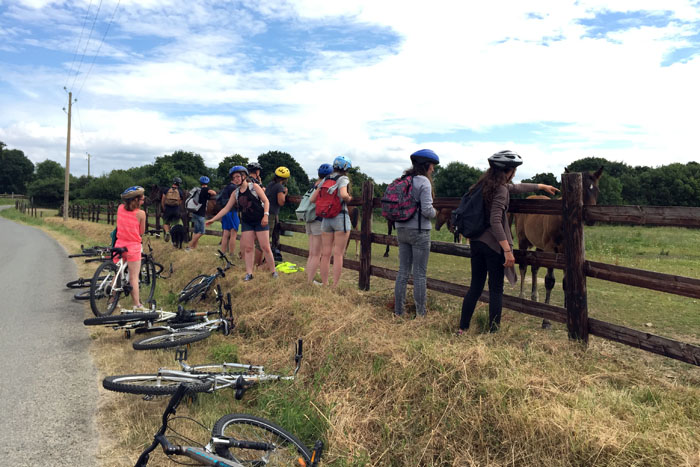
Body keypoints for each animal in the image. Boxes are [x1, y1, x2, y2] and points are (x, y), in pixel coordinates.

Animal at [512, 167, 604, 330]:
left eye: (596, 189)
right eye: (580, 190)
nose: (591, 219)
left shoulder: (565, 253)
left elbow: (567, 283)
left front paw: (567, 311)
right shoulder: (551, 250)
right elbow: (550, 281)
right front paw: (546, 321)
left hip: (539, 247)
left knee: (534, 268)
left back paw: (534, 297)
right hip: (523, 241)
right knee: (523, 267)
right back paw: (522, 297)